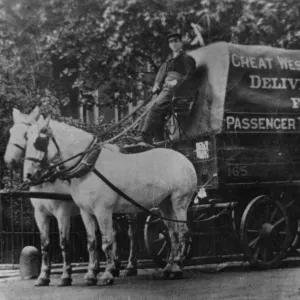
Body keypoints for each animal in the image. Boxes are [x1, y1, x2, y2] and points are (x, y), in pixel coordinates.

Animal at [3, 107, 138, 286]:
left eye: (27, 136)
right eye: (11, 132)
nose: (9, 160)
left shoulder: (63, 213)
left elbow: (64, 243)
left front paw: (66, 275)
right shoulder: (40, 214)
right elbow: (45, 244)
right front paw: (43, 276)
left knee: (131, 234)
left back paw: (130, 266)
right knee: (115, 233)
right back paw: (114, 267)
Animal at [22, 115, 197, 284]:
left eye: (39, 142)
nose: (29, 175)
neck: (89, 167)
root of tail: (184, 158)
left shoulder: (98, 210)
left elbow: (106, 242)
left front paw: (105, 275)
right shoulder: (84, 212)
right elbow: (91, 242)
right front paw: (91, 275)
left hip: (179, 202)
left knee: (183, 232)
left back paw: (176, 268)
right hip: (164, 204)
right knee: (172, 234)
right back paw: (168, 268)